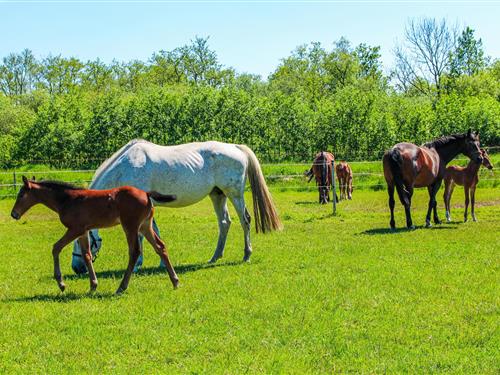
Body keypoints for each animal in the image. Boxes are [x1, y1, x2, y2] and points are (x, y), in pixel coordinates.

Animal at [10, 178, 180, 296]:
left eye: (21, 195)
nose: (14, 214)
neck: (67, 199)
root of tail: (146, 193)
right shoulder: (83, 231)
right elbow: (86, 255)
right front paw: (93, 285)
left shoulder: (75, 229)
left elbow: (56, 248)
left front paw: (61, 284)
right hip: (145, 225)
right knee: (160, 246)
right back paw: (175, 281)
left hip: (130, 226)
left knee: (135, 252)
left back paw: (121, 287)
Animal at [71, 139, 284, 274]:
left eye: (82, 242)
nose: (77, 268)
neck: (127, 168)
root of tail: (236, 147)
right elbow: (153, 232)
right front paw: (159, 262)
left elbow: (140, 235)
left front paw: (138, 263)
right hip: (217, 195)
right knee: (224, 223)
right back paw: (215, 257)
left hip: (234, 193)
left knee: (245, 220)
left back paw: (246, 255)